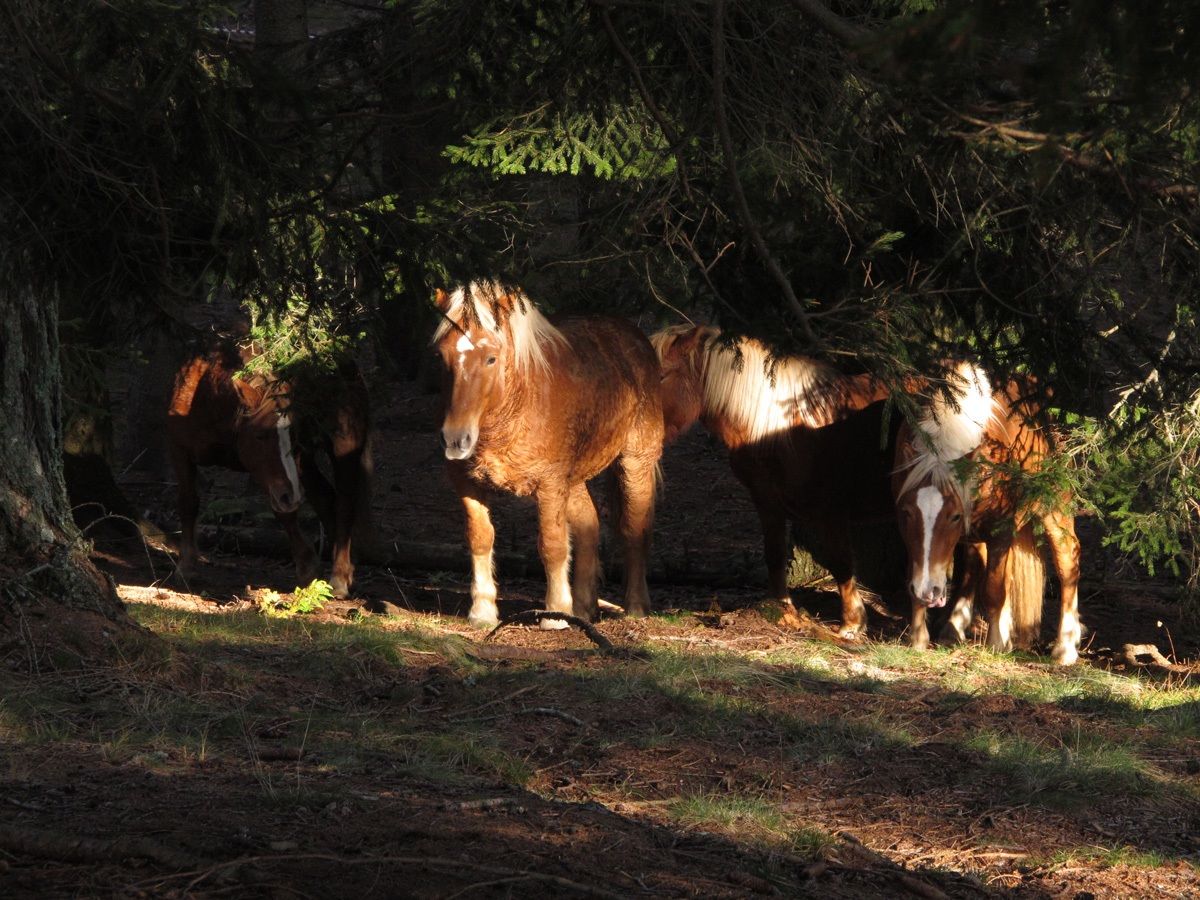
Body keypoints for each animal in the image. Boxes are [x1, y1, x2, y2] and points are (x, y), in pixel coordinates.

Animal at [166, 341, 371, 598]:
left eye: (294, 438)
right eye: (260, 435)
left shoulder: (278, 473)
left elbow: (284, 512)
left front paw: (307, 567)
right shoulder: (179, 450)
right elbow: (187, 503)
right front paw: (186, 566)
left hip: (344, 445)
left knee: (344, 503)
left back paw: (340, 576)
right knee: (325, 498)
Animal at [432, 281, 664, 629]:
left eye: (491, 358)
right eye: (442, 356)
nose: (456, 439)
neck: (519, 402)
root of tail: (635, 337)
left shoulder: (549, 486)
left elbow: (552, 545)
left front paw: (554, 615)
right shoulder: (468, 485)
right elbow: (480, 538)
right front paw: (482, 611)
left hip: (635, 463)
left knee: (635, 530)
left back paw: (635, 606)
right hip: (574, 480)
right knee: (589, 527)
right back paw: (583, 607)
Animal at [652, 324, 905, 637]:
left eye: (662, 375)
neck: (776, 425)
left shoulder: (829, 512)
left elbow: (842, 563)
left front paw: (852, 624)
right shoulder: (767, 503)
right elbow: (774, 555)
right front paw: (784, 610)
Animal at [891, 362, 1082, 665]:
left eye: (954, 516)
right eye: (908, 512)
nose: (930, 591)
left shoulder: (1000, 530)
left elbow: (994, 589)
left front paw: (996, 643)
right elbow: (919, 571)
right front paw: (918, 638)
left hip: (1054, 507)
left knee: (1067, 560)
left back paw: (1065, 647)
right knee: (975, 566)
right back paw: (955, 626)